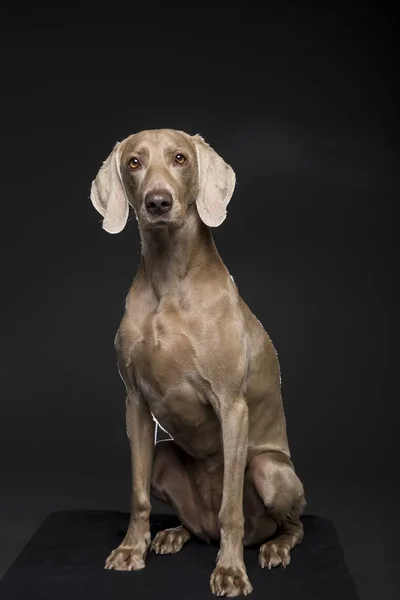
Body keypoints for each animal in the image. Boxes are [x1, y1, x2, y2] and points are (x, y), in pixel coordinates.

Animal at [89, 129, 304, 596]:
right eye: (134, 162)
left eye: (180, 159)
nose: (157, 202)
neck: (170, 278)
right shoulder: (135, 403)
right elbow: (136, 494)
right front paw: (131, 549)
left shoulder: (232, 406)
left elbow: (231, 511)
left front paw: (230, 571)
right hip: (164, 456)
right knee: (197, 524)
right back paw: (174, 534)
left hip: (270, 470)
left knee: (286, 524)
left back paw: (274, 548)